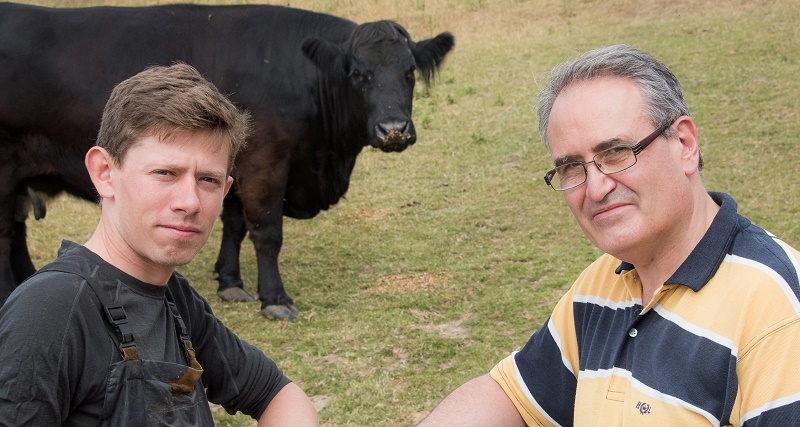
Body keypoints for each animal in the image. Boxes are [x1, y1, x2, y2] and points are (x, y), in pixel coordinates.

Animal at [0, 1, 454, 320]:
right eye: (358, 74)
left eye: (410, 71)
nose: (393, 129)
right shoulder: (267, 163)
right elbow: (267, 231)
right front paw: (274, 298)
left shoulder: (235, 163)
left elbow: (233, 223)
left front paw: (231, 281)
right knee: (6, 234)